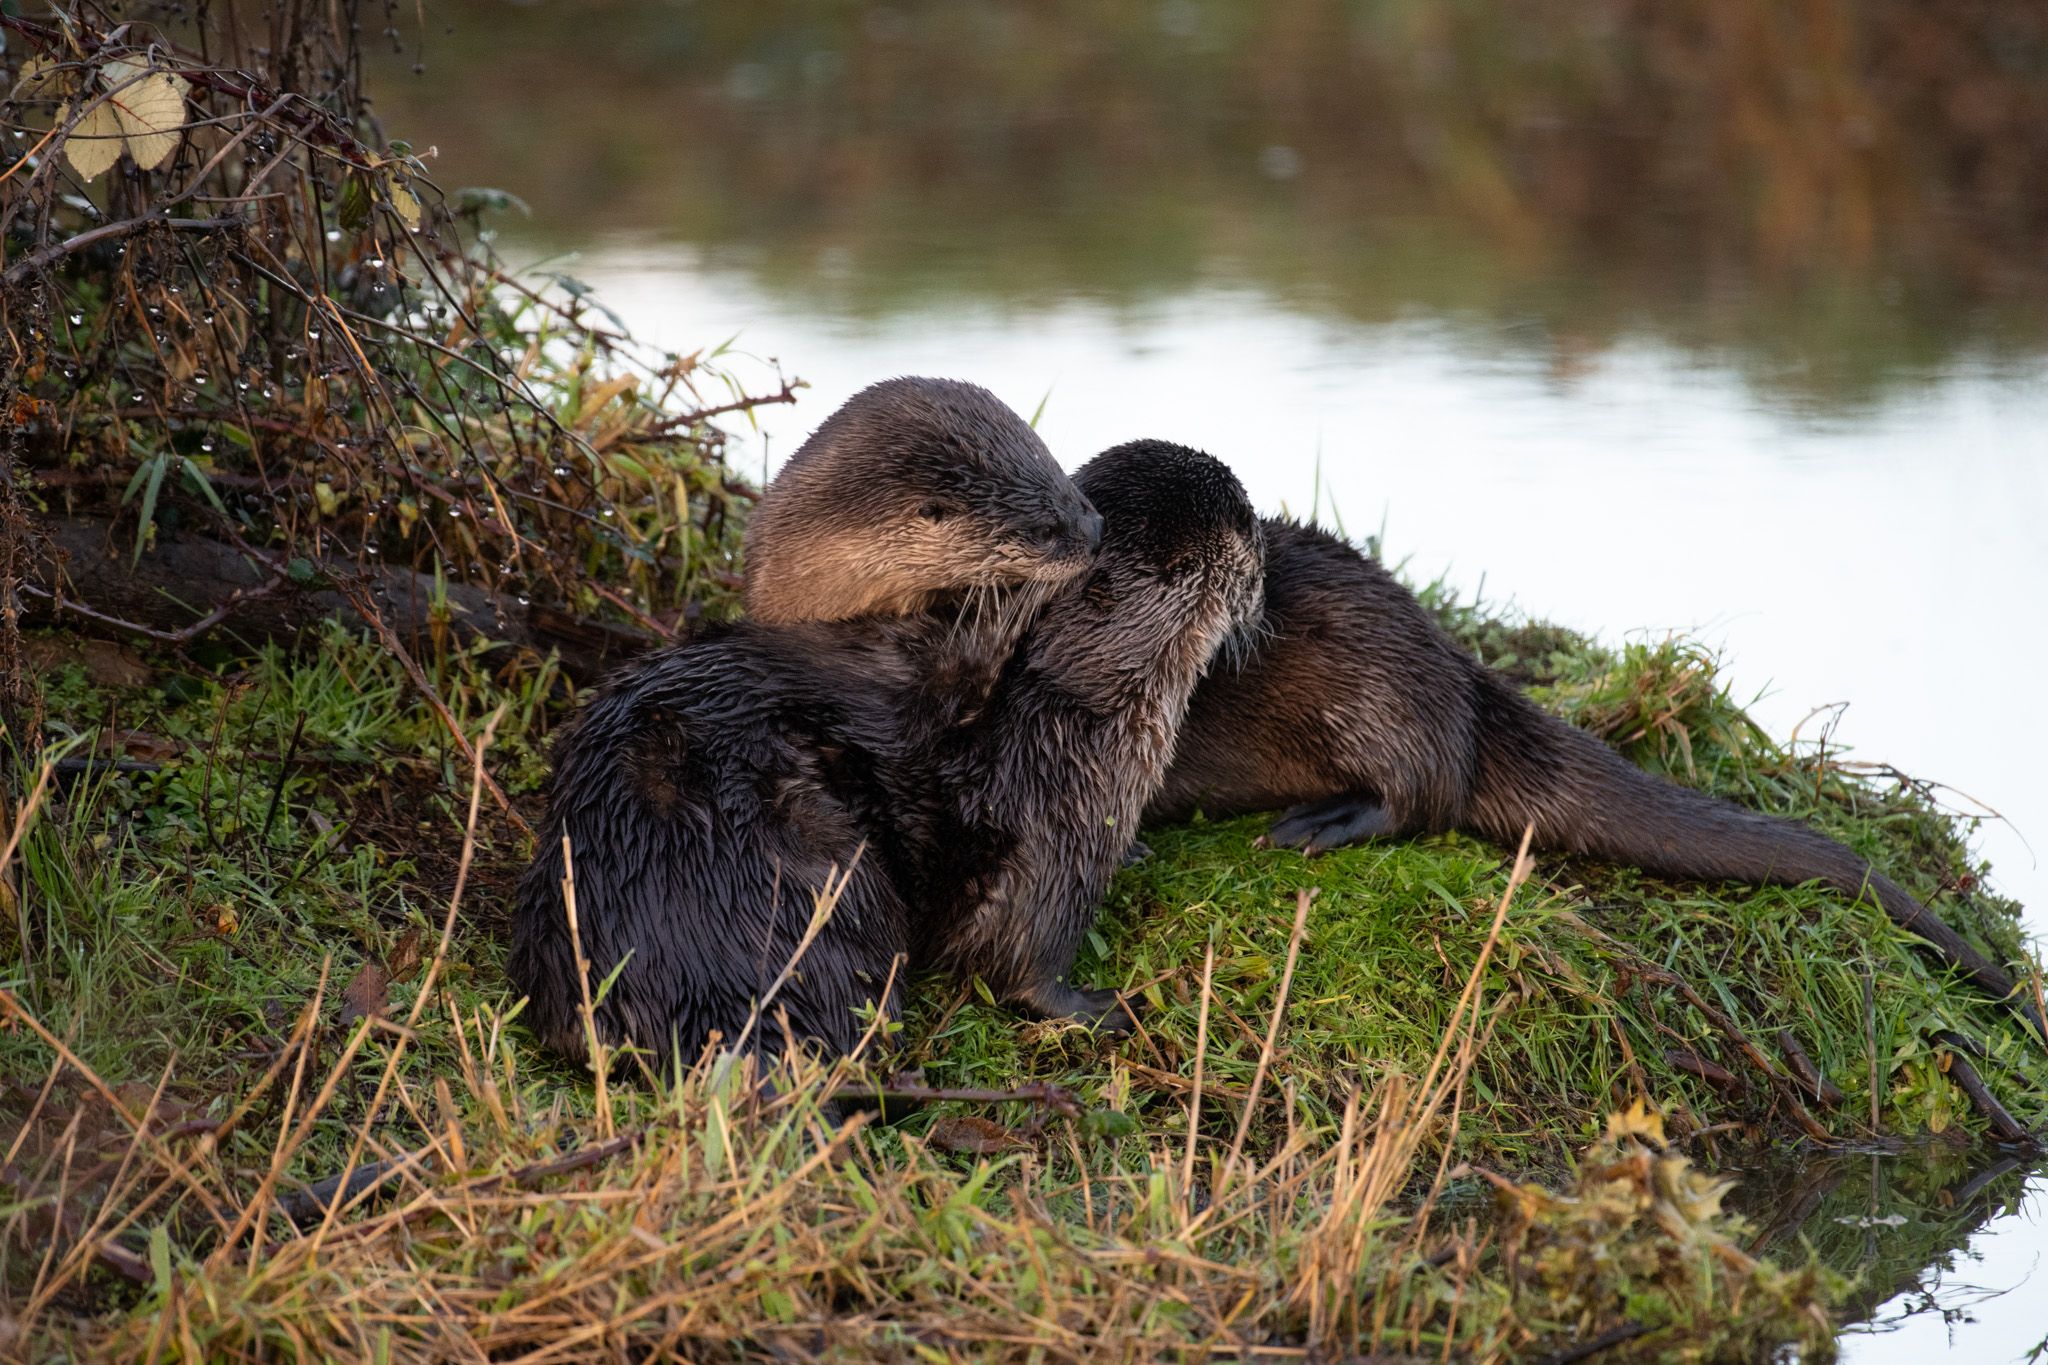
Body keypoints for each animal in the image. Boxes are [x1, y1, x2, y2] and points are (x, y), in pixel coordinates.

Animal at [503, 444, 1253, 1072]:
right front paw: (1104, 1007)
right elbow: (1016, 952)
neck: (1069, 697)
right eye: (1237, 532)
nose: (1260, 541)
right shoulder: (1056, 816)